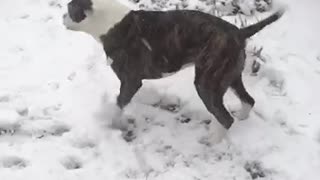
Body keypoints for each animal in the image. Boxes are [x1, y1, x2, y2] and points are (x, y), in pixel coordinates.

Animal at [63, 0, 284, 134]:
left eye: (70, 9)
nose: (62, 17)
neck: (108, 21)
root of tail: (239, 32)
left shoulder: (131, 81)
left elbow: (119, 104)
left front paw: (112, 123)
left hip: (207, 83)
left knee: (225, 118)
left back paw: (211, 142)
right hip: (230, 77)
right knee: (248, 101)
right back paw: (242, 118)